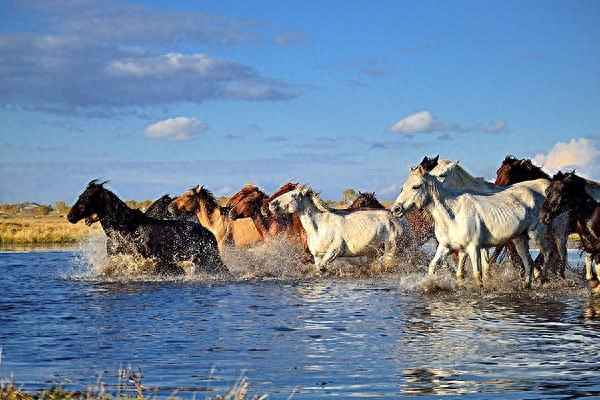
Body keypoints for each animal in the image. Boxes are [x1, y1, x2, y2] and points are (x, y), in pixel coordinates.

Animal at [67, 180, 227, 276]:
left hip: (209, 259)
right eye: (81, 196)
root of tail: (208, 233)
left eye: (86, 198)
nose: (70, 216)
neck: (124, 228)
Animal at [270, 186, 408, 270]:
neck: (318, 227)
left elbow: (322, 268)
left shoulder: (334, 251)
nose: (271, 204)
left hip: (391, 249)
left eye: (293, 195)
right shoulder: (317, 256)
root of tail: (398, 220)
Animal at [392, 166, 556, 288]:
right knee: (528, 262)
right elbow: (434, 266)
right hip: (519, 239)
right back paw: (526, 285)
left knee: (547, 253)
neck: (453, 215)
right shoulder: (446, 247)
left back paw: (542, 280)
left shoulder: (473, 248)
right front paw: (430, 284)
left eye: (416, 186)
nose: (396, 209)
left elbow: (478, 275)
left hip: (537, 234)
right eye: (403, 187)